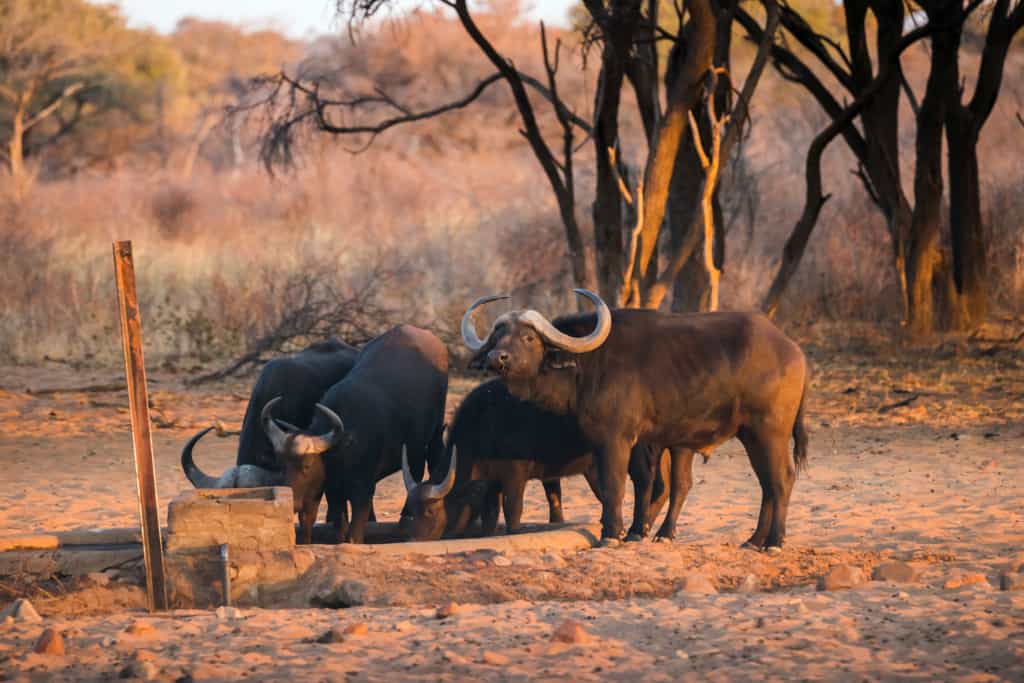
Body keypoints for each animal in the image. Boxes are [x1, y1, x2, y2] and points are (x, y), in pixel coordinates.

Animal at [260, 325, 444, 544]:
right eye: (281, 464)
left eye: (307, 465)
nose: (292, 503)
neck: (342, 449)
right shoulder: (333, 491)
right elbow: (339, 527)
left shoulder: (363, 490)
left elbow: (355, 534)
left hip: (432, 434)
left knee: (423, 466)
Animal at [399, 378, 671, 540]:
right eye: (409, 509)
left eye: (430, 510)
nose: (413, 539)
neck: (485, 425)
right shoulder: (491, 483)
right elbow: (489, 518)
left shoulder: (514, 476)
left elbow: (513, 511)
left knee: (646, 485)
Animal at [462, 290, 806, 552]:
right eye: (497, 336)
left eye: (528, 337)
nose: (497, 358)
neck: (587, 365)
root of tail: (792, 349)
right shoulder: (641, 441)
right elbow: (643, 483)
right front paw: (636, 531)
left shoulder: (614, 438)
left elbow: (614, 485)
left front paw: (611, 534)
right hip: (748, 435)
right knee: (762, 485)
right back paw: (751, 540)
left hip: (770, 432)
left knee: (782, 480)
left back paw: (774, 541)